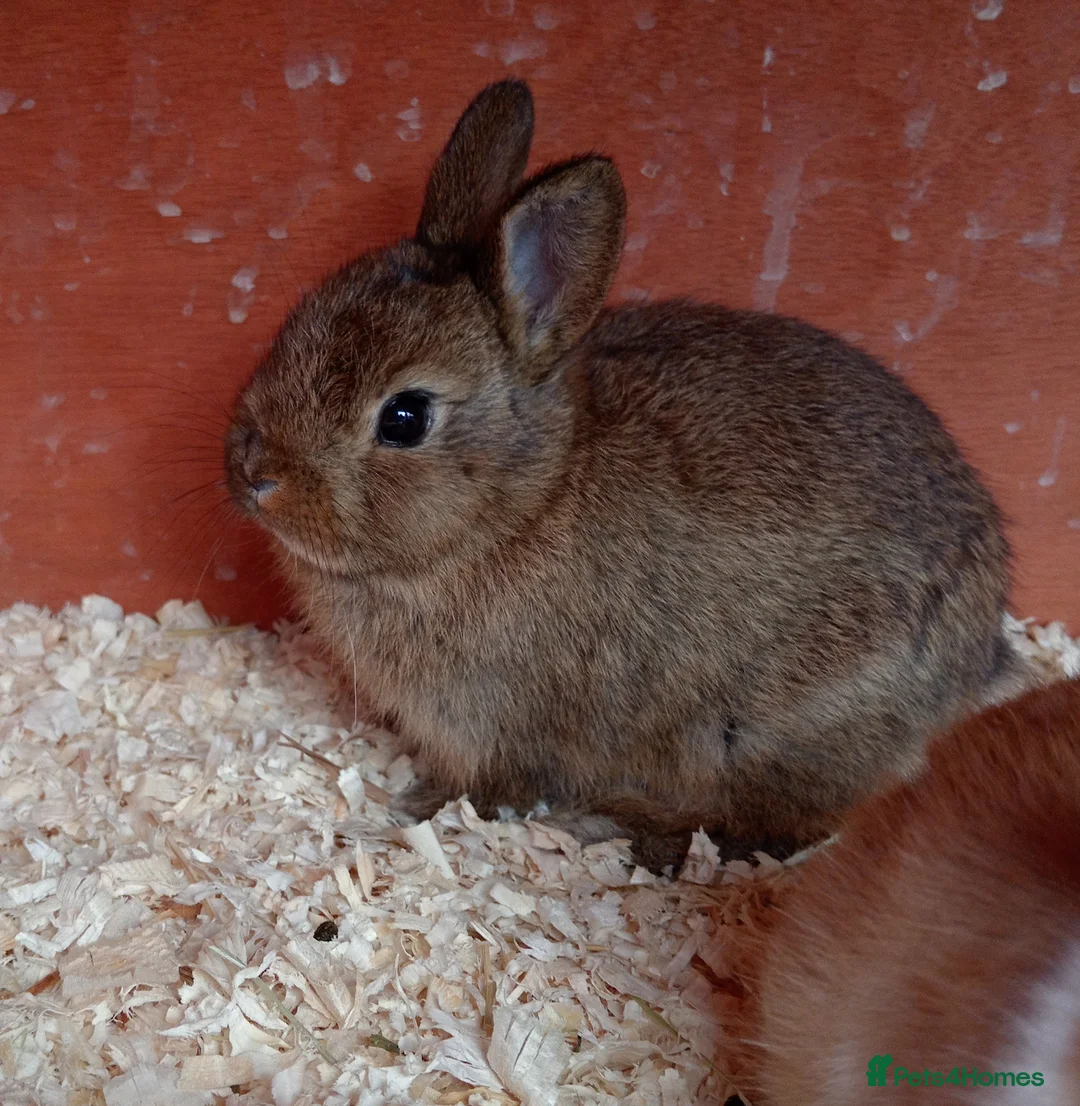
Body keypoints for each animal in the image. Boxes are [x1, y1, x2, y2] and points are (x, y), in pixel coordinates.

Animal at [223, 78, 1020, 869]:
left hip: (769, 732)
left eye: (404, 418)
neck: (520, 508)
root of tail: (977, 657)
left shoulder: (502, 726)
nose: (257, 474)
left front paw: (419, 809)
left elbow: (490, 786)